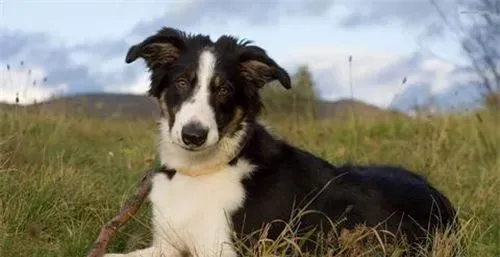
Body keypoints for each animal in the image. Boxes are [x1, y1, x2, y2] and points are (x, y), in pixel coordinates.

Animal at [104, 26, 458, 256]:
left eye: (224, 89)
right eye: (181, 82)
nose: (193, 136)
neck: (201, 170)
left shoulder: (224, 249)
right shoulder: (166, 244)